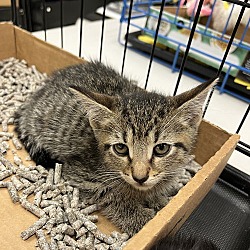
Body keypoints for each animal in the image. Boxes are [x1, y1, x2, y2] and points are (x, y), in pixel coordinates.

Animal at [14, 61, 217, 236]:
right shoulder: (79, 172)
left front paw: (159, 200)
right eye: (121, 148)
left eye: (161, 148)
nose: (139, 177)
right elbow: (113, 194)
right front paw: (140, 219)